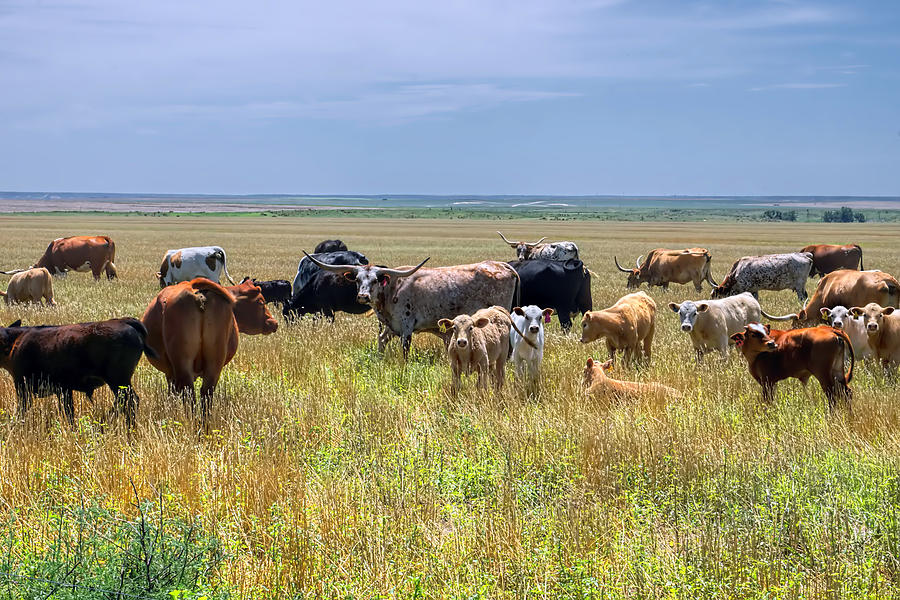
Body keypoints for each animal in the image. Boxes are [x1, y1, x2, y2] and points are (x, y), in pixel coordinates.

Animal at [0, 316, 155, 428]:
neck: (15, 341)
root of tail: (124, 321)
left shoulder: (22, 386)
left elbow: (22, 409)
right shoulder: (64, 390)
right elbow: (69, 412)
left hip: (118, 380)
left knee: (129, 401)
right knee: (124, 401)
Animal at [300, 252, 516, 356]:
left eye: (375, 280)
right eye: (358, 280)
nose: (362, 296)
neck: (392, 289)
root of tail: (503, 265)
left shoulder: (406, 327)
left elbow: (405, 351)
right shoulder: (391, 326)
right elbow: (381, 341)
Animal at [728, 324, 856, 412]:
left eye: (766, 331)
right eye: (753, 334)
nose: (772, 343)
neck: (755, 357)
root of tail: (829, 329)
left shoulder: (767, 381)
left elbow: (768, 401)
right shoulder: (772, 382)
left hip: (824, 375)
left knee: (832, 396)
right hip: (837, 372)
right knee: (846, 393)